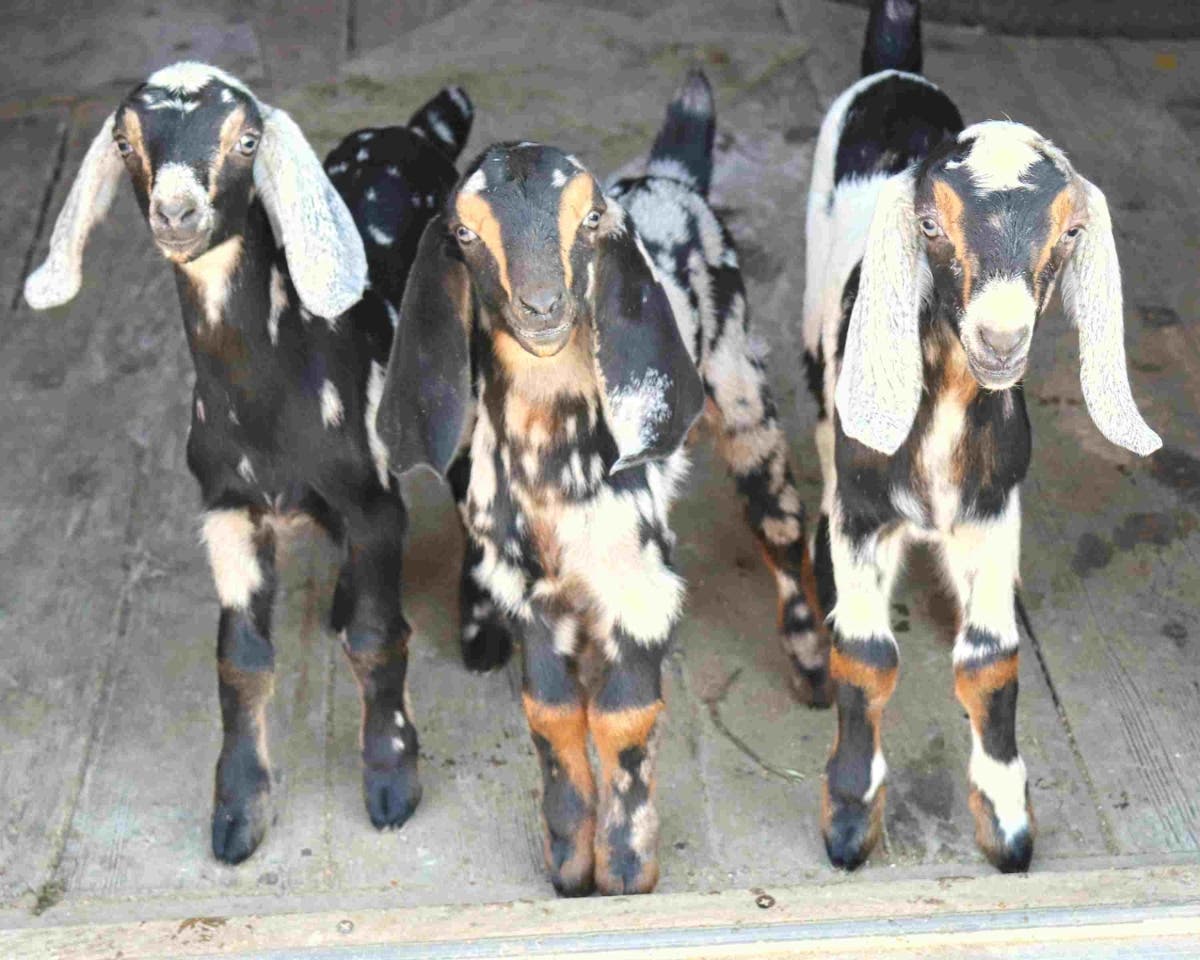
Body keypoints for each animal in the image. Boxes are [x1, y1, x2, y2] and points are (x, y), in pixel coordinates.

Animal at [23, 62, 473, 865]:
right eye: (124, 141)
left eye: (248, 140)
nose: (177, 212)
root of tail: (419, 131)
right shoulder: (227, 508)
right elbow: (241, 657)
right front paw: (238, 809)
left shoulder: (370, 498)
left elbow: (377, 638)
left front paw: (391, 780)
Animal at [376, 71, 817, 895]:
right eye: (464, 235)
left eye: (589, 220)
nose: (543, 308)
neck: (554, 463)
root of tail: (672, 180)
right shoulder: (527, 589)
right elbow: (550, 713)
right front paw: (568, 863)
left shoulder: (636, 579)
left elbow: (623, 715)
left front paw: (627, 867)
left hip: (746, 400)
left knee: (782, 527)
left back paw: (814, 675)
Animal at [802, 0, 1161, 874]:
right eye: (930, 225)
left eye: (1069, 235)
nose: (1001, 340)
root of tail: (895, 71)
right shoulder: (865, 511)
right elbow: (866, 654)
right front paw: (849, 819)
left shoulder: (996, 506)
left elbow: (992, 657)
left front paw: (1006, 824)